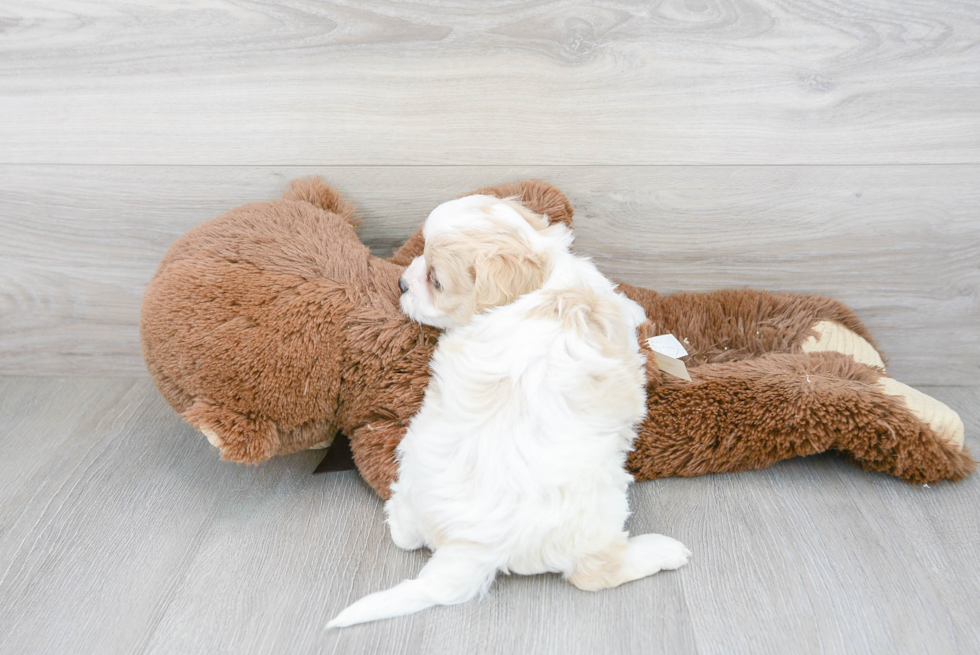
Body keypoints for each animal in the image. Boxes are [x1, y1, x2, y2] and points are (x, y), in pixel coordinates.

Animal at [326, 196, 684, 632]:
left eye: (435, 279)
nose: (401, 285)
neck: (541, 279)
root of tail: (469, 546)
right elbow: (626, 308)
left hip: (413, 468)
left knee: (406, 534)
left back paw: (396, 514)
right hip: (600, 509)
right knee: (595, 572)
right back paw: (662, 551)